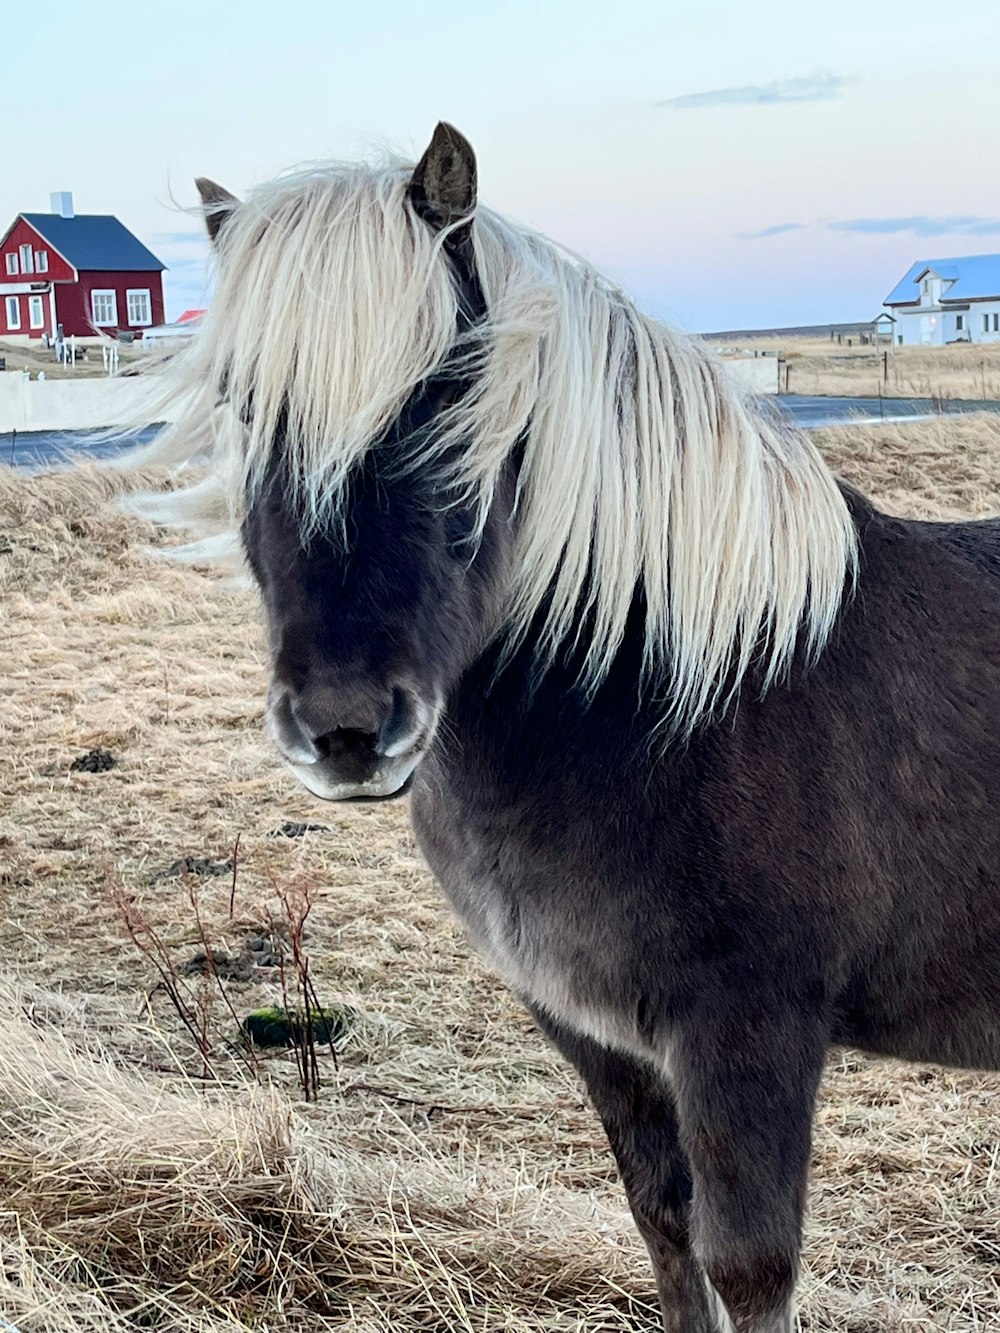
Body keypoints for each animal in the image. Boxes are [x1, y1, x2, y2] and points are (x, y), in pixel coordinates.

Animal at [133, 125, 1000, 1333]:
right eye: (244, 407)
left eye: (449, 396)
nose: (346, 730)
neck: (682, 697)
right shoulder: (597, 1034)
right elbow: (665, 1228)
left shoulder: (749, 1035)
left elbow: (748, 1266)